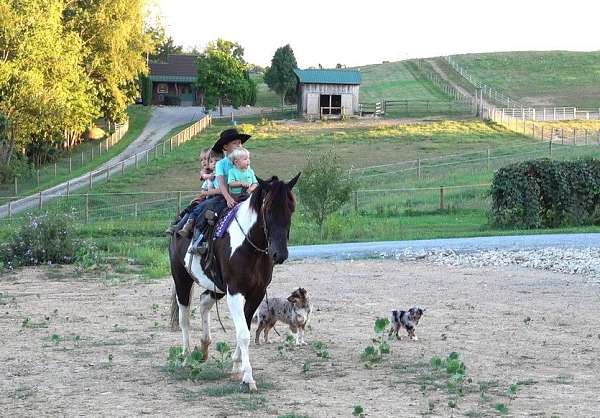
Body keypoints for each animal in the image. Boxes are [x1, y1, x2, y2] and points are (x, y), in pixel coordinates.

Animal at [168, 173, 300, 392]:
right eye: (268, 209)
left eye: (291, 208)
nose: (279, 254)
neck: (249, 246)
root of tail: (181, 221)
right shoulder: (235, 292)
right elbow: (244, 333)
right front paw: (248, 377)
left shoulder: (256, 293)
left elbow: (245, 327)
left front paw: (237, 365)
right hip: (181, 279)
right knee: (184, 317)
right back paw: (186, 357)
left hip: (217, 287)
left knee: (204, 303)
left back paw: (204, 346)